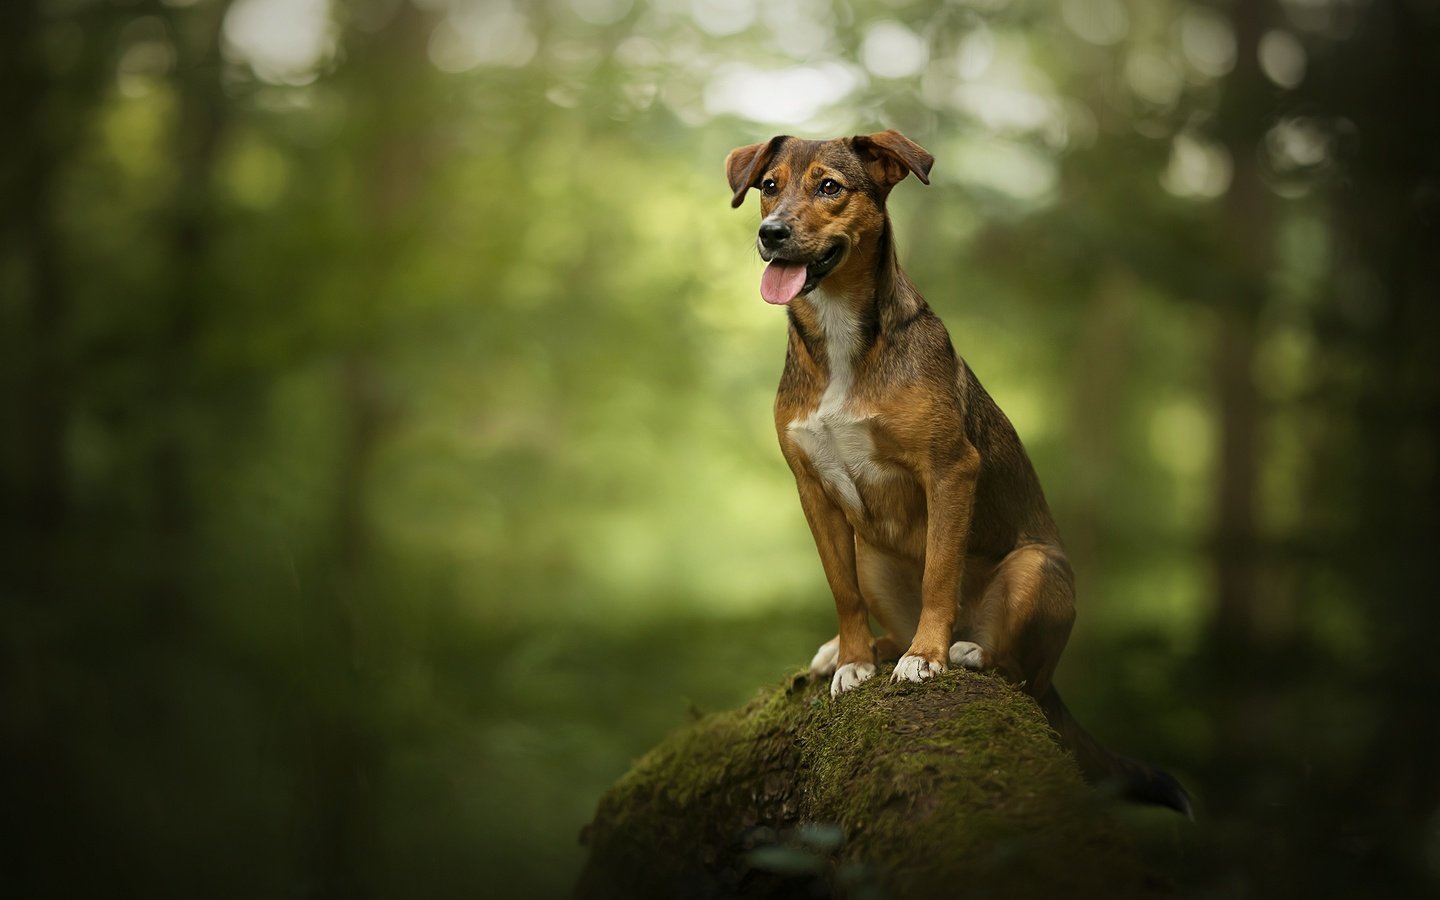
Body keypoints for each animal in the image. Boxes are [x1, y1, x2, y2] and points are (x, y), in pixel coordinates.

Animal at [725, 128, 1186, 812]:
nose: (771, 233)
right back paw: (863, 650)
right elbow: (842, 591)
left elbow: (940, 572)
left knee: (1018, 674)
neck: (841, 338)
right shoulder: (813, 491)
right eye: (769, 186)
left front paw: (927, 657)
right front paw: (854, 661)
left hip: (1037, 569)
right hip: (872, 553)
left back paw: (965, 650)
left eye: (829, 187)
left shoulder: (949, 470)